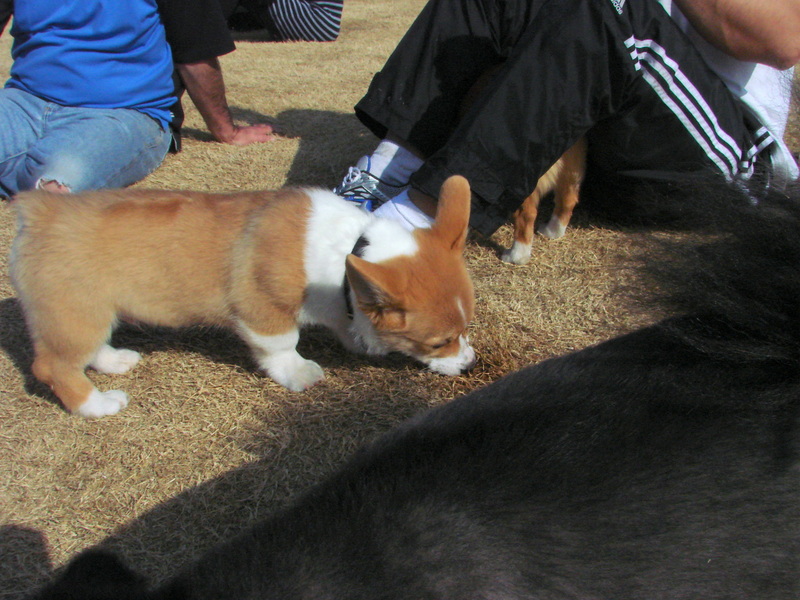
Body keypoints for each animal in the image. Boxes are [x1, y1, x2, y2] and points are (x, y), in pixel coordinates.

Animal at [9, 175, 476, 418]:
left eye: (464, 330)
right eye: (438, 343)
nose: (470, 366)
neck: (350, 249)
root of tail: (41, 211)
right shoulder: (262, 310)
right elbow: (283, 346)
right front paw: (300, 373)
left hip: (90, 315)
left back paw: (114, 361)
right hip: (75, 312)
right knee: (52, 365)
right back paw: (98, 404)